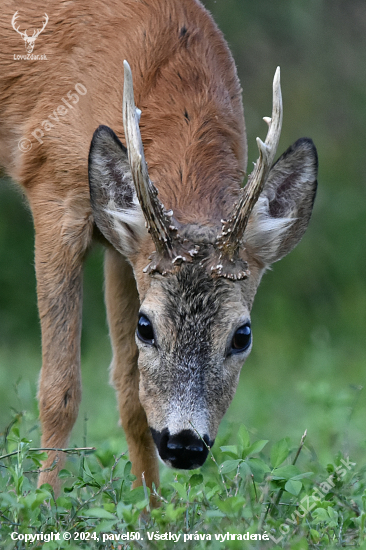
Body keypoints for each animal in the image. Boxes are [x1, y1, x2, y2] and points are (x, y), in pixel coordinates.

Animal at [0, 1, 318, 496]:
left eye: (242, 334)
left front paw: (150, 505)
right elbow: (59, 389)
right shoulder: (53, 191)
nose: (184, 444)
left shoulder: (121, 247)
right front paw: (44, 502)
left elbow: (130, 394)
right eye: (146, 328)